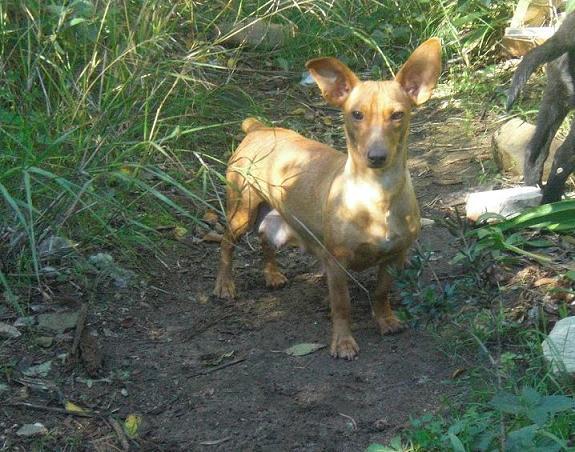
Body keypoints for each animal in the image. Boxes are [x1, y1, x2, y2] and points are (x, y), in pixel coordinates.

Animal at [214, 38, 444, 360]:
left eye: (398, 115)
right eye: (356, 114)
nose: (376, 156)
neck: (378, 194)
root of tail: (258, 128)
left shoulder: (394, 257)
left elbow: (381, 293)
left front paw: (385, 320)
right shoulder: (336, 265)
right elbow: (342, 305)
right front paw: (343, 342)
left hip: (269, 213)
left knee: (263, 240)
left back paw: (271, 274)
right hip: (241, 210)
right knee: (226, 243)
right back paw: (224, 285)